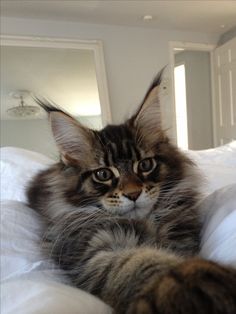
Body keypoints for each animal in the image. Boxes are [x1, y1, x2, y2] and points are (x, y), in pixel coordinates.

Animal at [28, 71, 236, 314]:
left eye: (145, 165)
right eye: (103, 174)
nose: (134, 194)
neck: (146, 223)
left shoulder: (182, 238)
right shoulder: (92, 250)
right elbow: (138, 263)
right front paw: (192, 282)